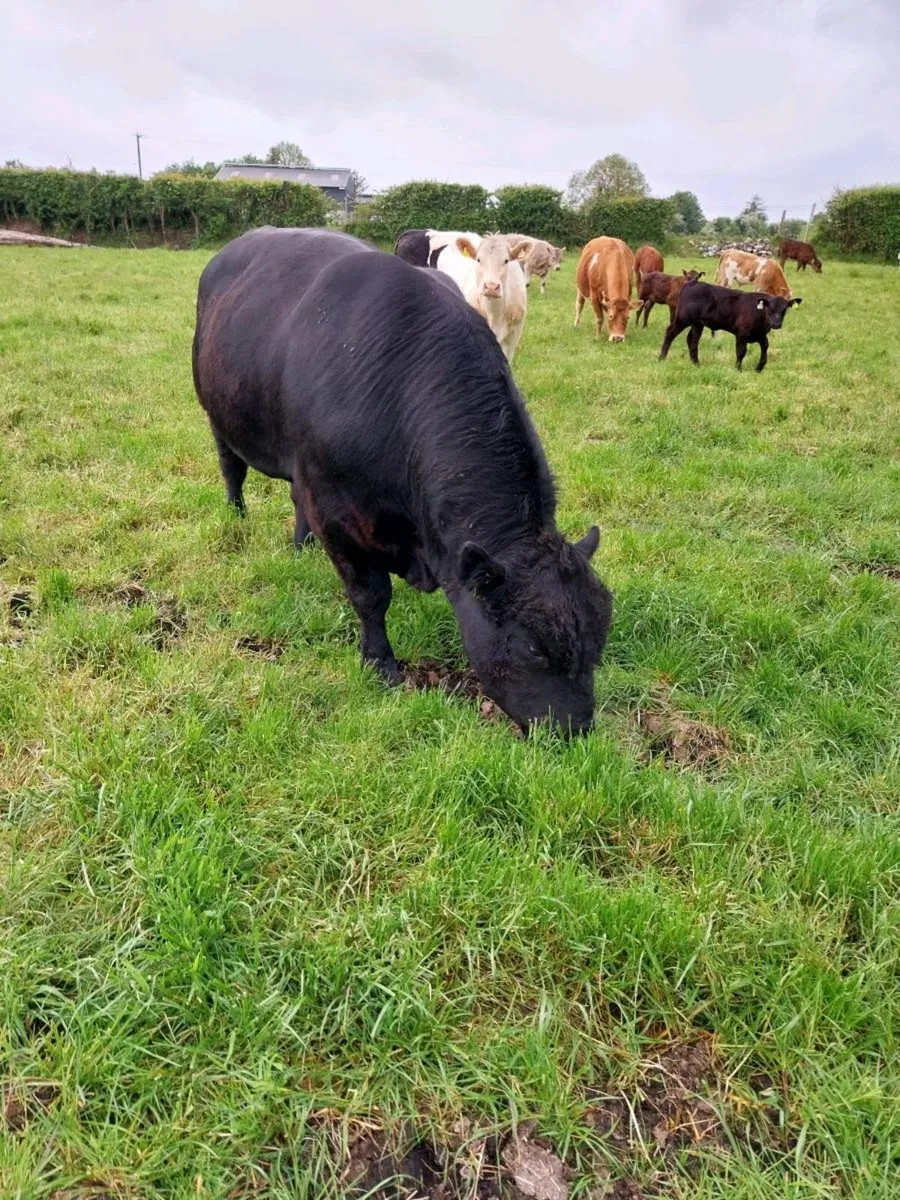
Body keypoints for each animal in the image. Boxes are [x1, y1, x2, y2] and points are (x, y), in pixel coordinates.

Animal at [192, 228, 613, 735]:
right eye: (532, 646)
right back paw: (237, 516)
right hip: (219, 415)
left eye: (599, 638)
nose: (576, 729)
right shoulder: (337, 512)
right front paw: (380, 664)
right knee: (231, 469)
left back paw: (301, 545)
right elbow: (371, 596)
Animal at [659, 280, 802, 372]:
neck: (758, 313)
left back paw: (696, 364)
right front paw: (738, 369)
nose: (776, 324)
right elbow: (741, 352)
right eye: (770, 309)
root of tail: (693, 283)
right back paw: (662, 358)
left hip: (698, 323)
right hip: (683, 318)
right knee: (670, 333)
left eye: (784, 310)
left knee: (692, 340)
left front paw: (759, 368)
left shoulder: (761, 335)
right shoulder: (741, 334)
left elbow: (765, 347)